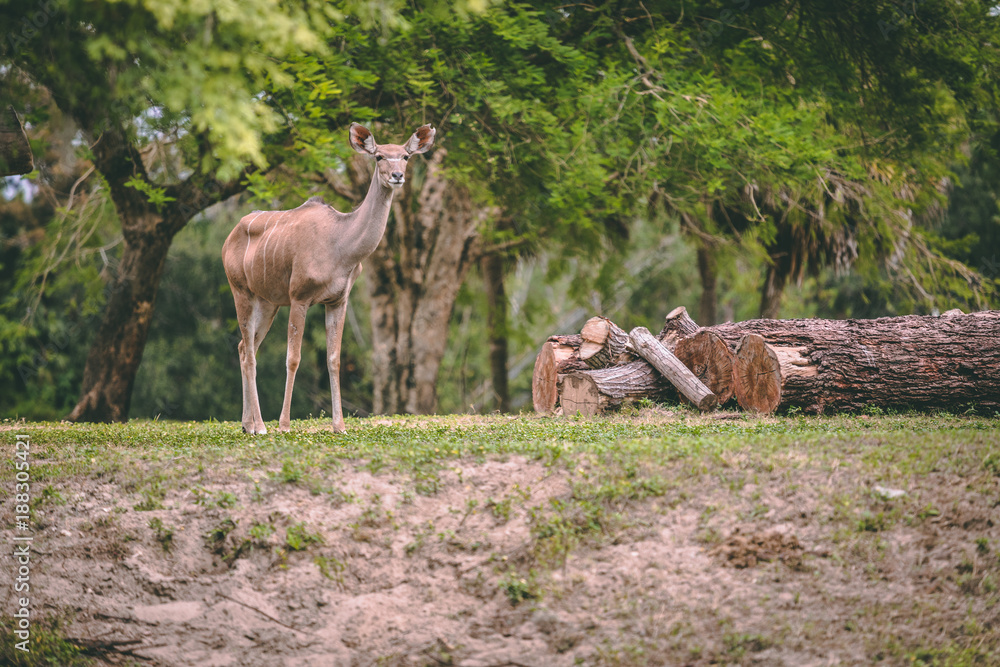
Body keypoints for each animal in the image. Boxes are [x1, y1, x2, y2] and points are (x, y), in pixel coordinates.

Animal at [222, 123, 436, 434]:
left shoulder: (337, 300)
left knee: (243, 347)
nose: (397, 176)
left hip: (268, 302)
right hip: (240, 290)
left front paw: (340, 425)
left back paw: (247, 424)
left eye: (406, 156)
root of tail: (227, 240)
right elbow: (293, 357)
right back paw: (260, 426)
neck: (341, 247)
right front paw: (284, 425)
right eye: (379, 156)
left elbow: (333, 359)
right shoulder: (299, 296)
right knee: (249, 351)